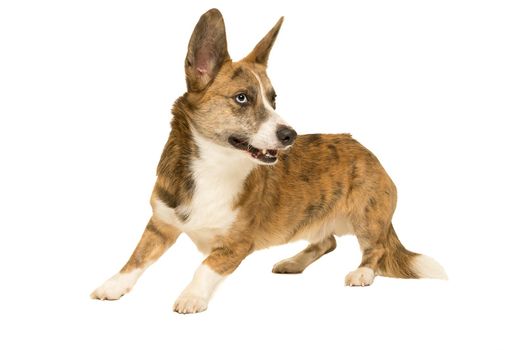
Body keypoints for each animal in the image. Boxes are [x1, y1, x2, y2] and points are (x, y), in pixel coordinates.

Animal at [92, 8, 444, 314]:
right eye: (242, 98)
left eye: (273, 99)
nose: (290, 134)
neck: (214, 166)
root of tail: (368, 152)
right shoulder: (160, 224)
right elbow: (137, 257)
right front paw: (113, 285)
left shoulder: (236, 244)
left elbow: (204, 267)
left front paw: (191, 297)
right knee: (327, 241)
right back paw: (293, 262)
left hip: (366, 217)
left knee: (376, 249)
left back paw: (361, 273)